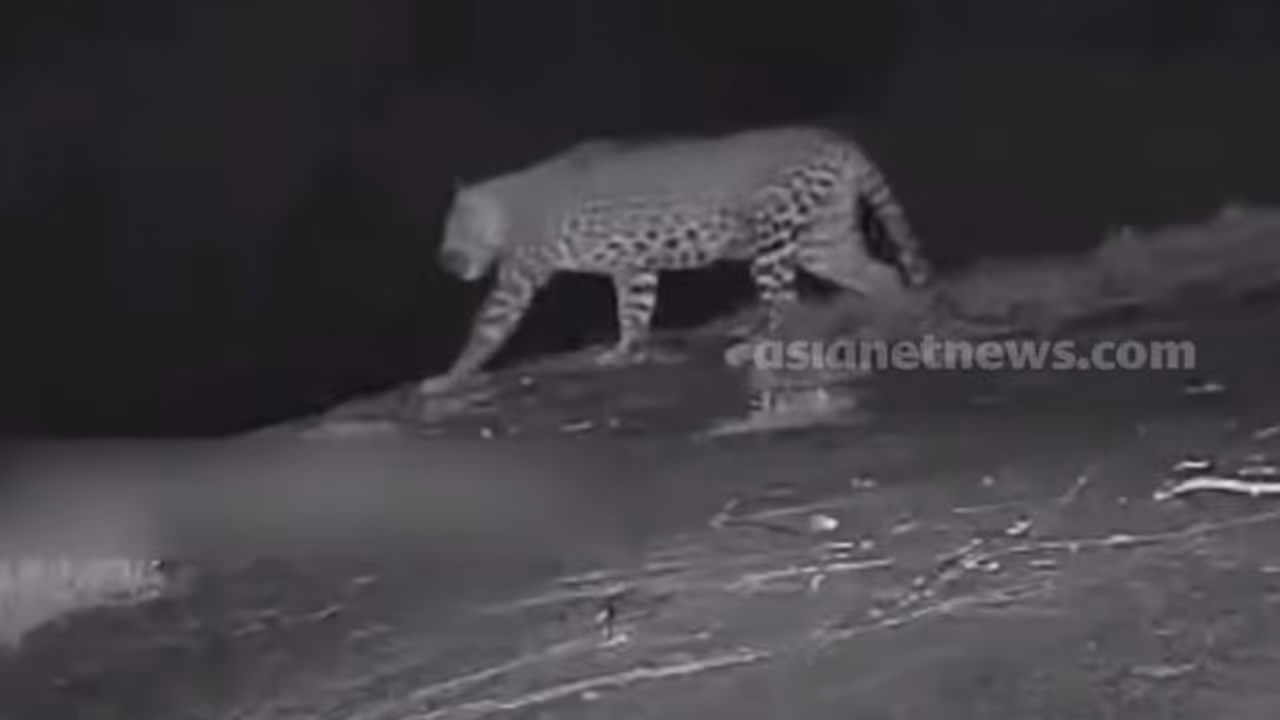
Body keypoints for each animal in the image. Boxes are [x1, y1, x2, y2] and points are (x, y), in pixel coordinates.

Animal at [421, 125, 933, 394]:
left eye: (454, 230)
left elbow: (487, 327)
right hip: (823, 240)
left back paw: (757, 347)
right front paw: (625, 351)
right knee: (882, 274)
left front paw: (447, 379)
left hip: (773, 239)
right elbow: (634, 310)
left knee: (787, 305)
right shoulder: (635, 267)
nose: (445, 261)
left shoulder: (519, 274)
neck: (510, 201)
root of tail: (834, 139)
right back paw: (887, 326)